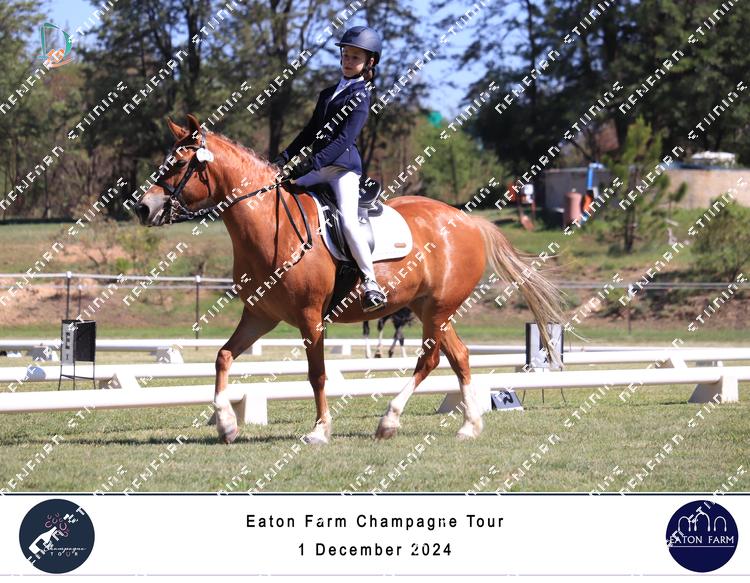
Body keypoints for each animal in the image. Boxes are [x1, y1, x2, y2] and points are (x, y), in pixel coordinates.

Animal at [134, 114, 564, 445]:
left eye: (179, 164)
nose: (142, 208)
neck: (269, 224)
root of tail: (467, 220)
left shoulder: (310, 318)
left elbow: (318, 375)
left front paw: (319, 431)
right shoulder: (261, 315)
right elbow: (222, 357)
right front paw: (226, 425)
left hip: (438, 310)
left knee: (430, 358)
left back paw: (390, 420)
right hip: (430, 309)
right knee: (458, 356)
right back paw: (468, 426)